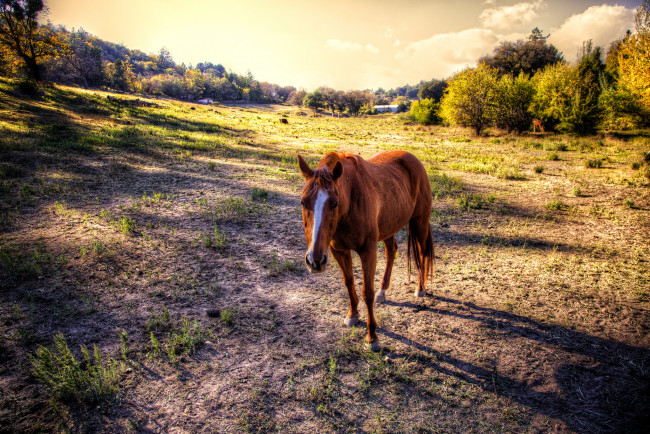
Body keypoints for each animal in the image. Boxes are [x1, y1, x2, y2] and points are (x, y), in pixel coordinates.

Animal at [298, 151, 430, 350]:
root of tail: (413, 159)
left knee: (422, 253)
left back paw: (420, 288)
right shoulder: (338, 251)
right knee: (391, 251)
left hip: (419, 223)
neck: (350, 204)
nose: (315, 260)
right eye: (303, 202)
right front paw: (352, 315)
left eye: (334, 203)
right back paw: (383, 291)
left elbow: (367, 292)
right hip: (388, 227)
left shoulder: (368, 251)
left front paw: (372, 337)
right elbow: (349, 282)